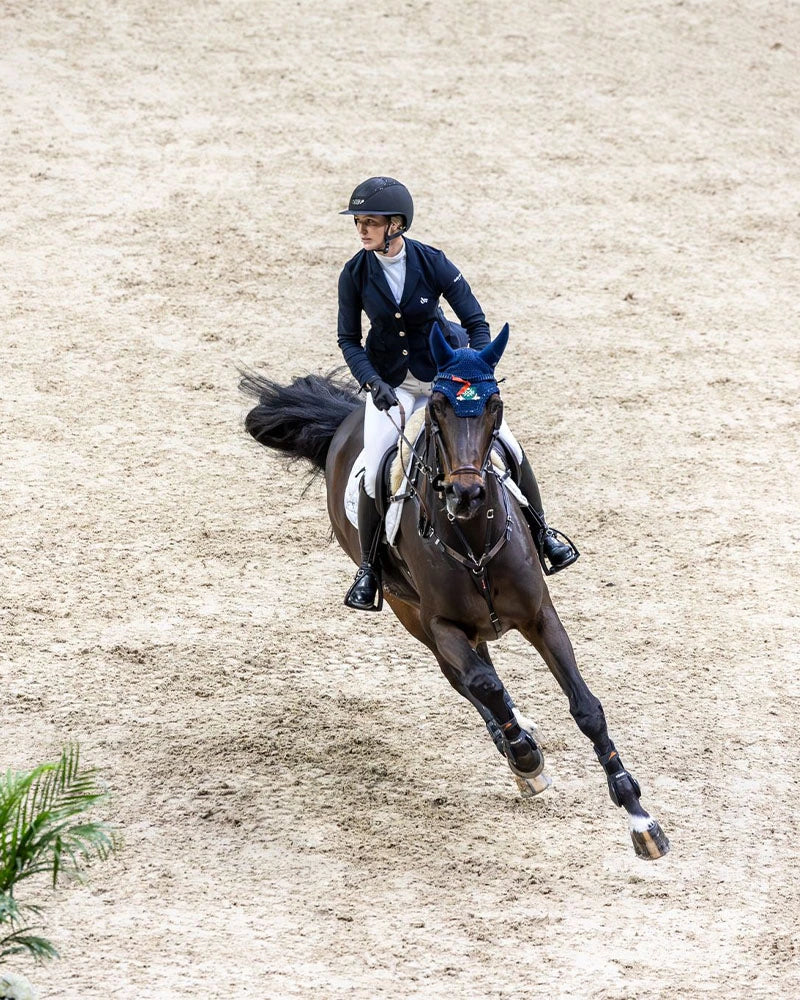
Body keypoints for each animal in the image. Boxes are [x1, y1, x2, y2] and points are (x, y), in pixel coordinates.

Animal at [242, 324, 668, 856]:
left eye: (495, 405)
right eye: (440, 407)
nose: (466, 494)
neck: (473, 539)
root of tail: (343, 423)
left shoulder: (540, 616)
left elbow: (586, 708)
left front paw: (639, 816)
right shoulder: (440, 623)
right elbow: (484, 685)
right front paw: (524, 756)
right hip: (410, 613)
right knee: (465, 678)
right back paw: (519, 749)